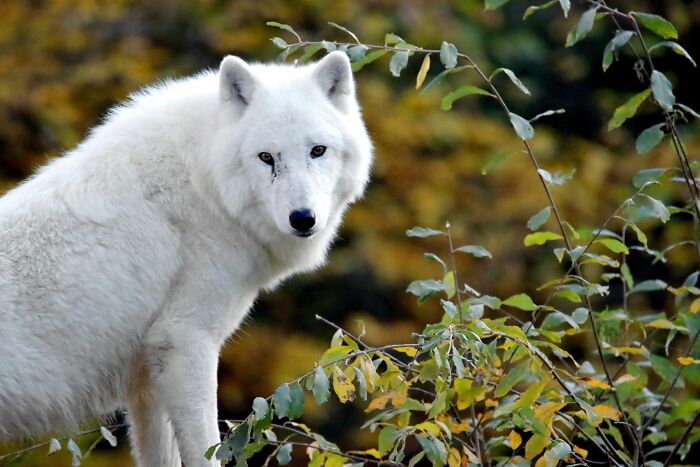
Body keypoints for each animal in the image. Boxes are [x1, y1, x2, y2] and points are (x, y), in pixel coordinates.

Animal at [0, 51, 372, 466]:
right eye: (266, 158)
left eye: (317, 150)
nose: (303, 218)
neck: (205, 186)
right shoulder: (184, 343)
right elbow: (204, 452)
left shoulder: (146, 384)